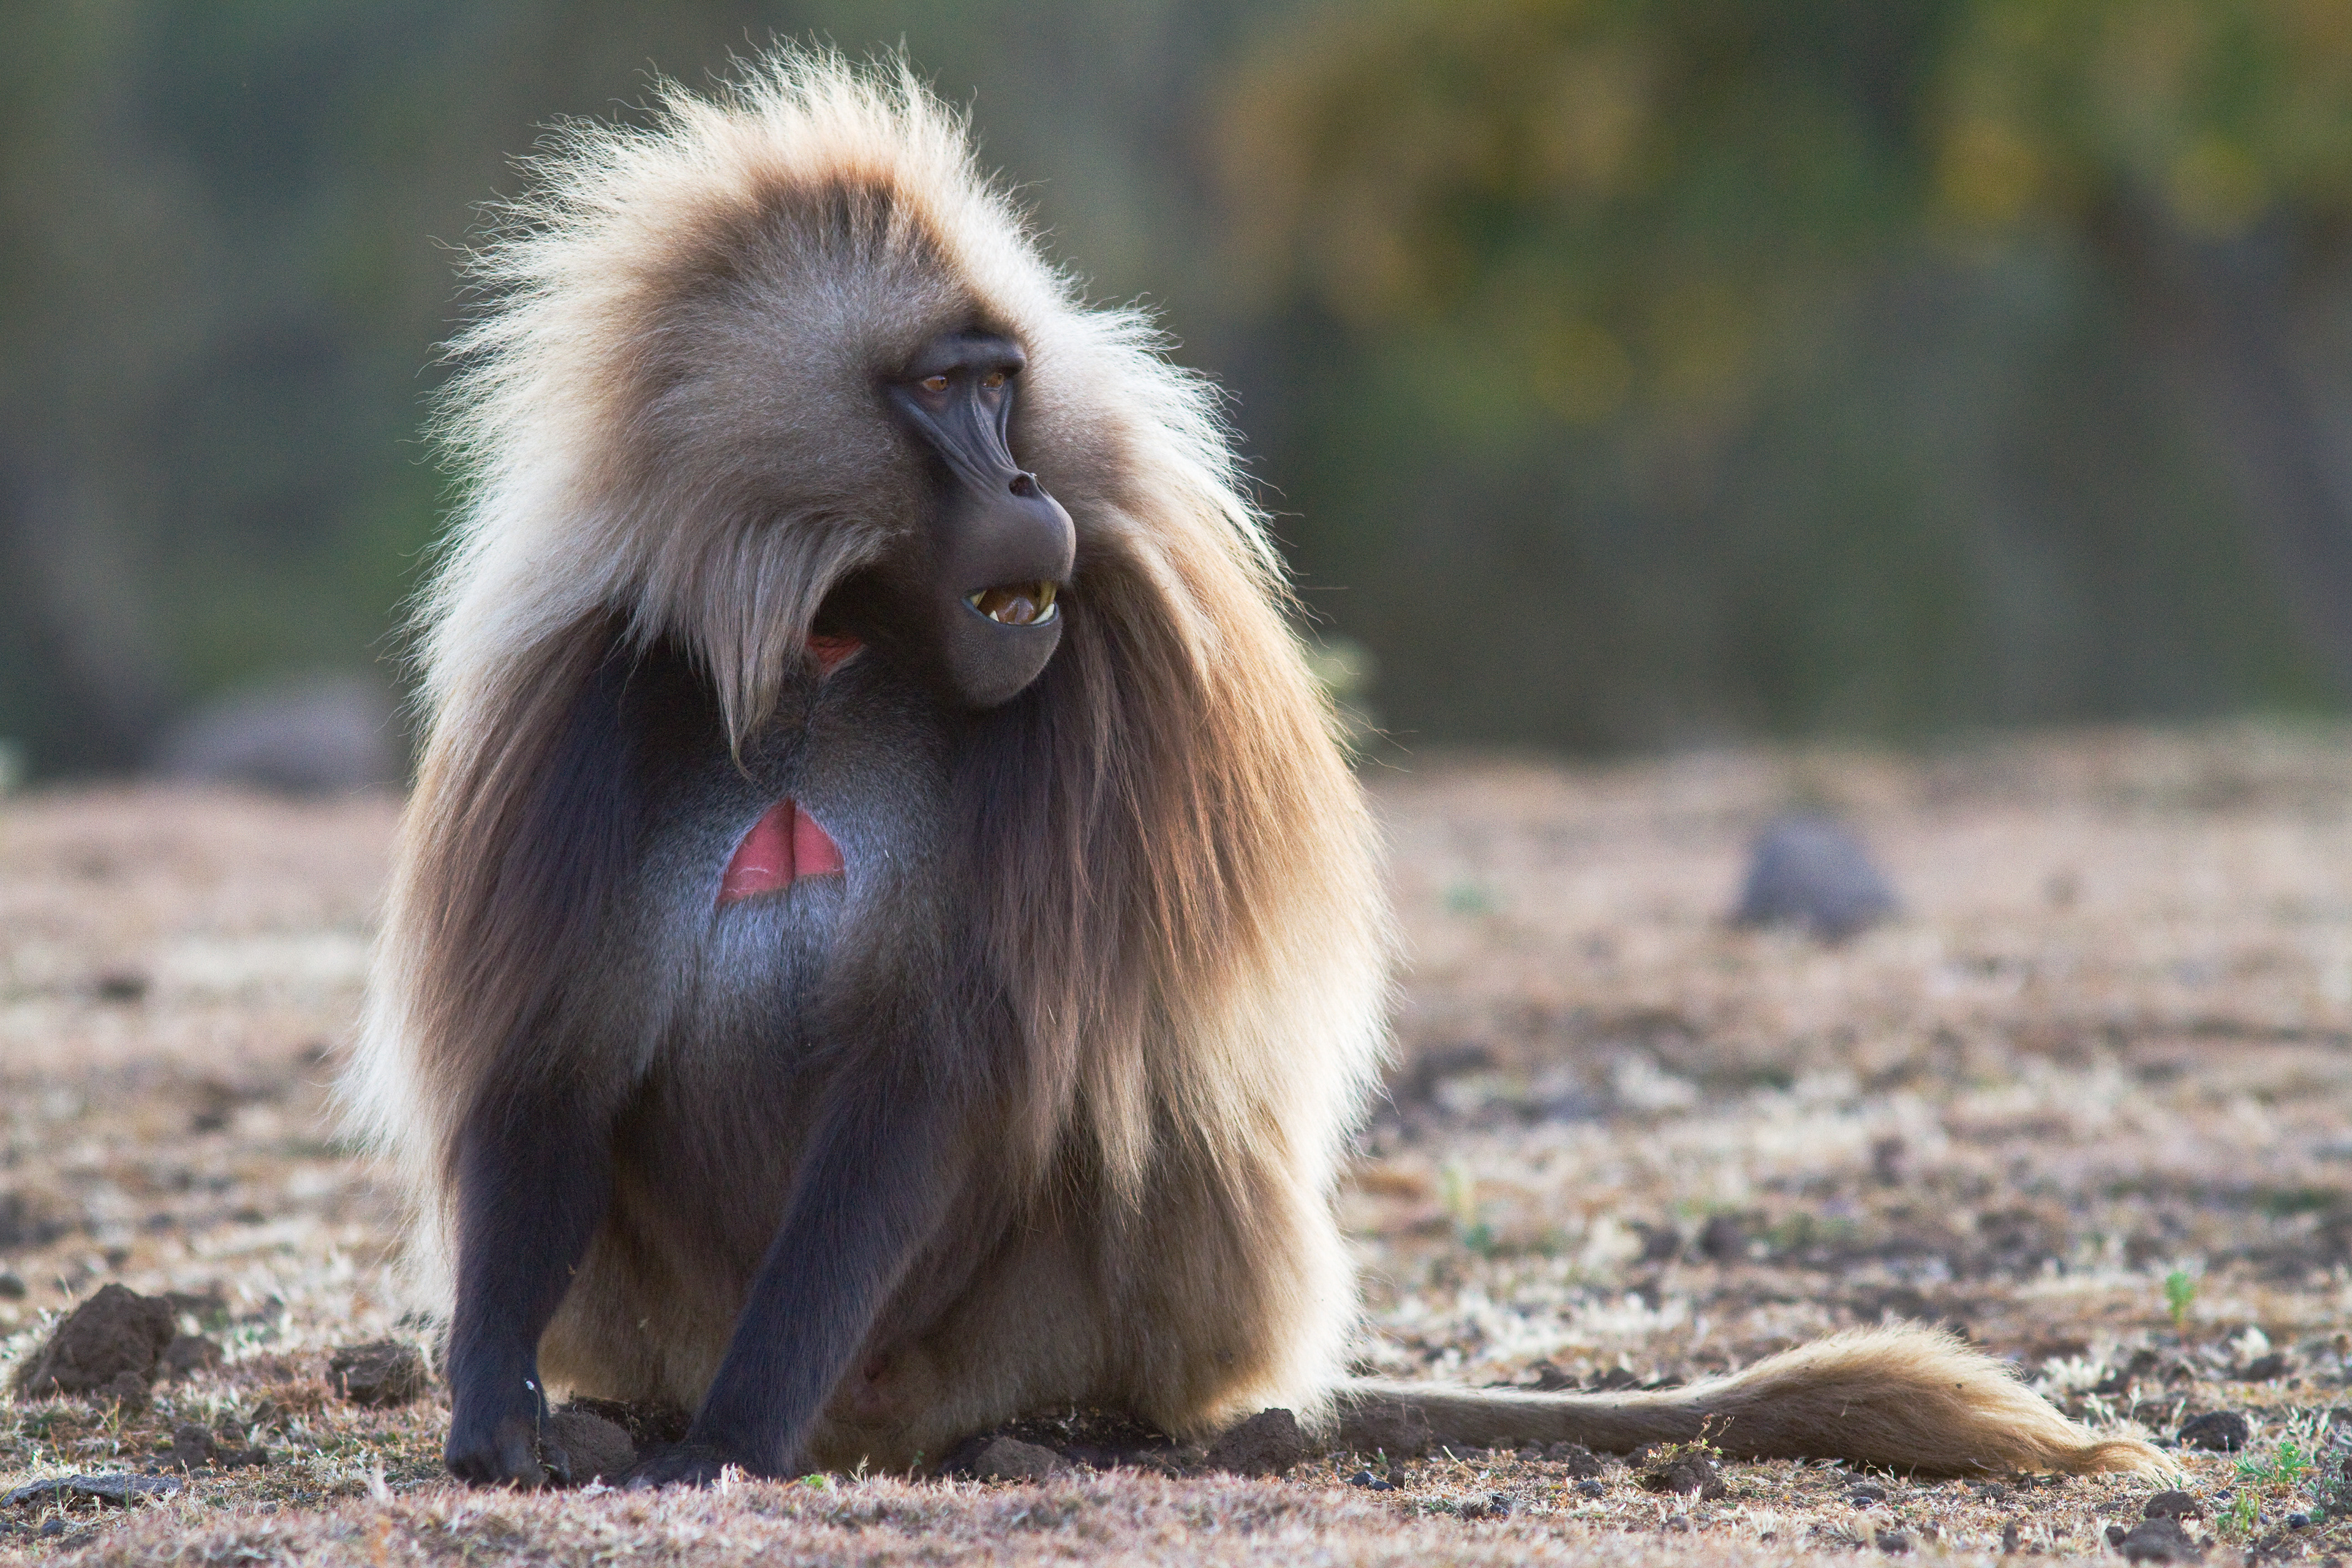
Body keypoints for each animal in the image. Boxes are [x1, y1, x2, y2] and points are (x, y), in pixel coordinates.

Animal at [346, 50, 2164, 1488]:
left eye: (1003, 384)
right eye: (943, 392)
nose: (1028, 486)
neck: (830, 642)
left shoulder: (1106, 669)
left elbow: (941, 1065)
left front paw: (729, 1441)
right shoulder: (594, 690)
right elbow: (557, 1062)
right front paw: (496, 1415)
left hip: (1038, 1327)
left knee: (1157, 1126)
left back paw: (1120, 1429)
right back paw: (613, 1420)